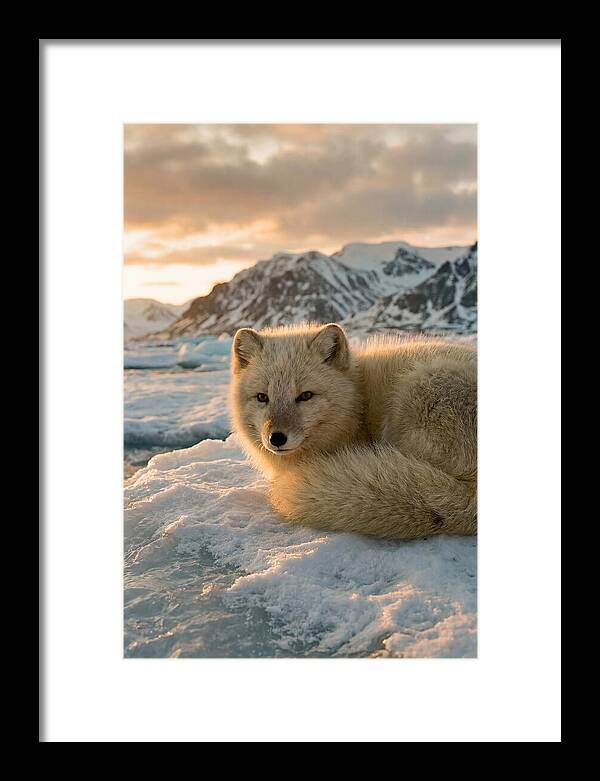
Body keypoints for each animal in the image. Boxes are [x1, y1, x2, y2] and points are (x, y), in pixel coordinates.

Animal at [229, 322, 477, 540]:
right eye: (262, 397)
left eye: (306, 395)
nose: (276, 438)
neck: (358, 402)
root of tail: (471, 498)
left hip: (415, 392)